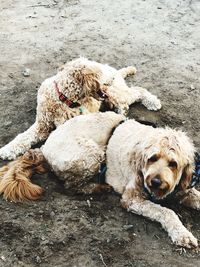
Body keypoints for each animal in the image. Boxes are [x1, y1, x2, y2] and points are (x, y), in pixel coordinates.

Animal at [0, 57, 161, 160]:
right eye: (99, 72)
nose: (108, 76)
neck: (64, 99)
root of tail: (116, 72)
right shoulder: (42, 125)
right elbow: (23, 137)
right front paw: (7, 150)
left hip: (114, 93)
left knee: (138, 91)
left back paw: (152, 102)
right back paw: (122, 110)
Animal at [0, 111, 200, 249]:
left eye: (173, 164)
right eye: (152, 158)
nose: (155, 182)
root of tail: (45, 146)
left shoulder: (183, 188)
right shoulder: (132, 199)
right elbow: (166, 212)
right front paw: (182, 234)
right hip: (91, 154)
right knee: (71, 185)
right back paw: (98, 187)